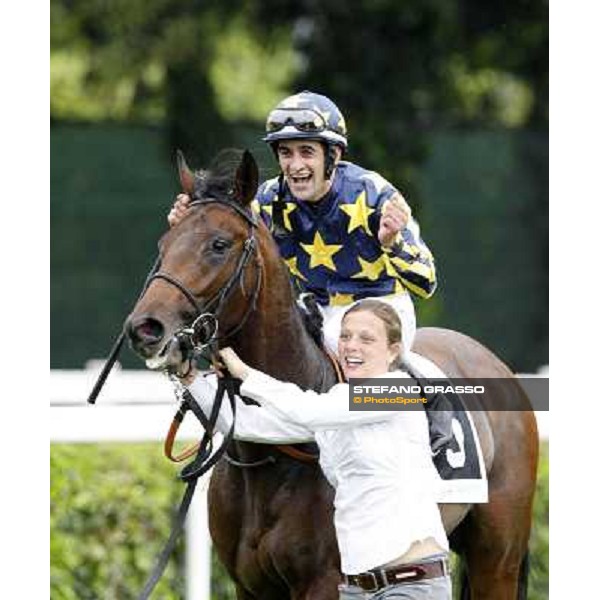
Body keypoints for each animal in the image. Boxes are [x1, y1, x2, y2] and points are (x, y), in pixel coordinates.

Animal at [125, 148, 540, 596]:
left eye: (218, 244)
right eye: (164, 244)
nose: (145, 328)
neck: (269, 457)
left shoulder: (326, 581)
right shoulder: (249, 586)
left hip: (496, 558)